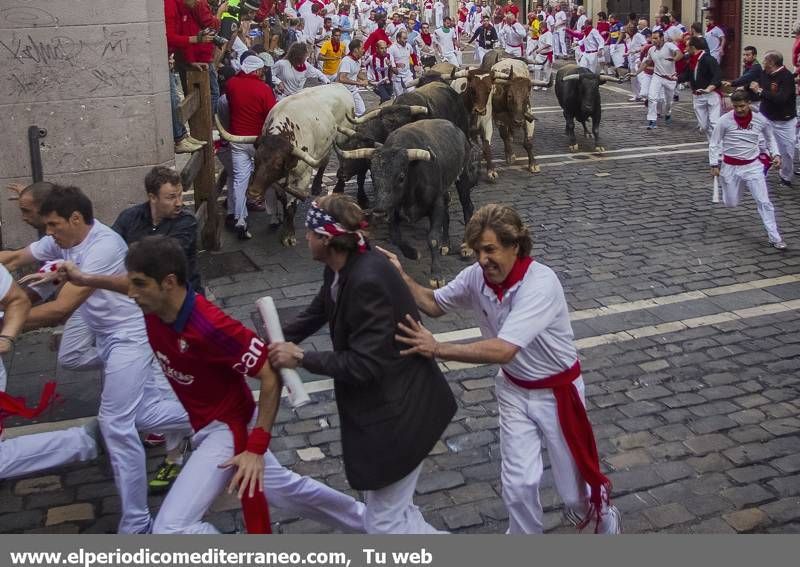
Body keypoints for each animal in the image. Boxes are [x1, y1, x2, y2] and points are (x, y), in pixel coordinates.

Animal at [216, 82, 354, 246]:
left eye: (277, 164)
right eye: (256, 159)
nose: (253, 193)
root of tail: (339, 85)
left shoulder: (303, 177)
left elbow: (291, 207)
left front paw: (289, 235)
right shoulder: (277, 180)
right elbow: (282, 199)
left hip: (343, 138)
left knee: (342, 157)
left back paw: (335, 187)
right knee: (325, 159)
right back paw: (316, 186)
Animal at [332, 120, 476, 288]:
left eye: (401, 177)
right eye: (373, 176)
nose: (379, 213)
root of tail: (458, 130)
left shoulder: (436, 203)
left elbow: (433, 238)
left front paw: (436, 275)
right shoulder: (393, 210)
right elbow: (395, 237)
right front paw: (413, 253)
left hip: (463, 177)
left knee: (467, 207)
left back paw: (466, 247)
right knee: (447, 214)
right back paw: (445, 244)